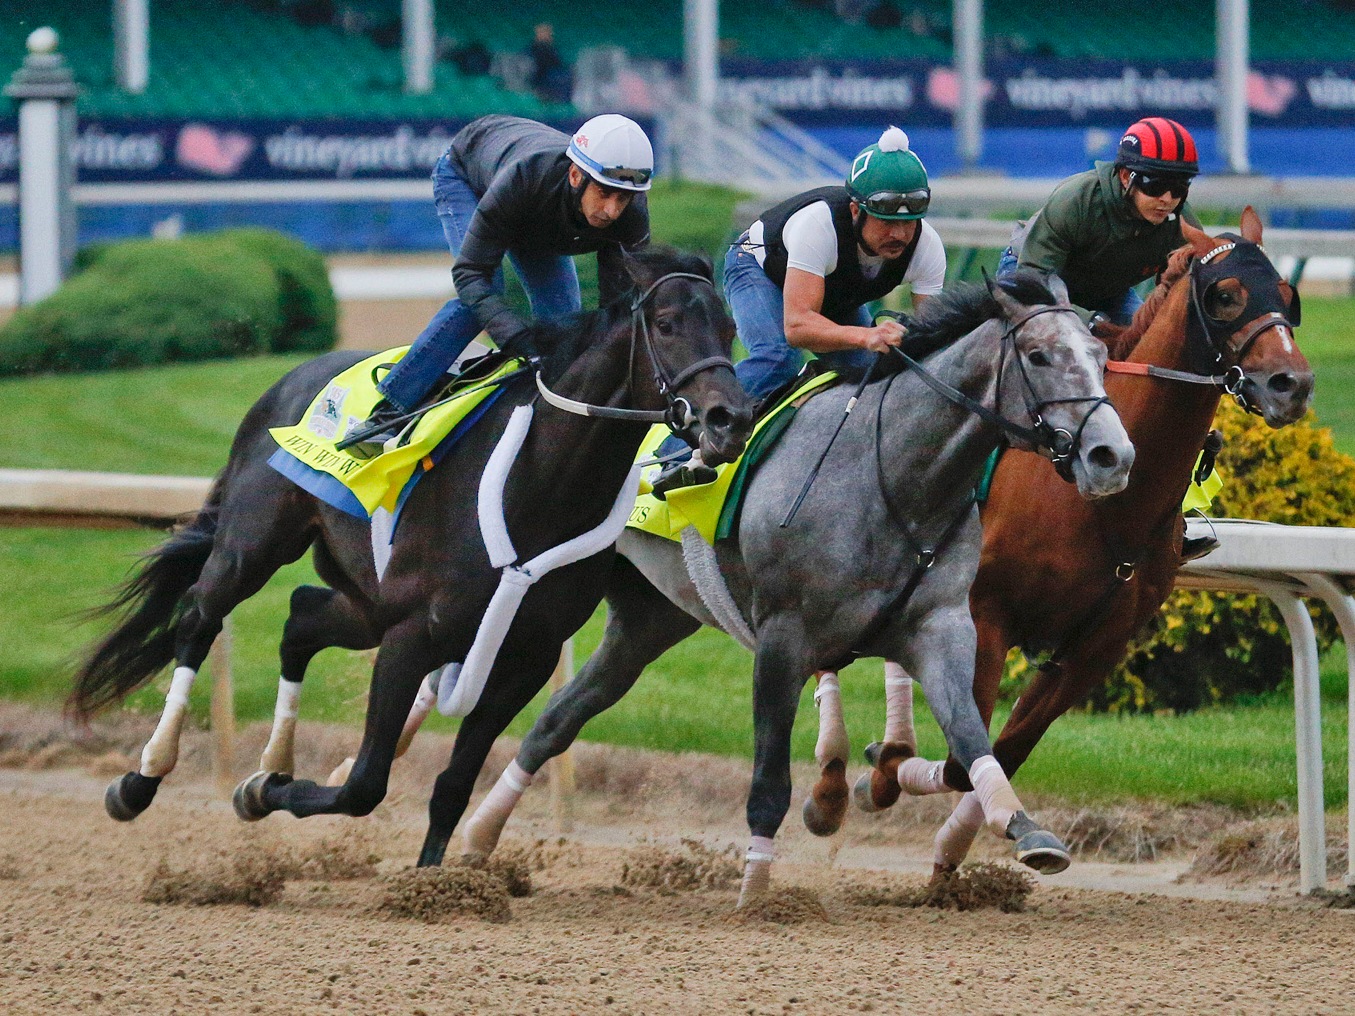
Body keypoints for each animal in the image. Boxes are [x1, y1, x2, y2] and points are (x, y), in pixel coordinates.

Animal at [71, 246, 756, 839]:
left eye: (730, 327)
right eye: (666, 325)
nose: (731, 420)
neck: (540, 485)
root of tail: (289, 380)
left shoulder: (525, 655)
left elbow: (451, 788)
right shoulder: (412, 636)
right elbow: (364, 783)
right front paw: (264, 790)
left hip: (367, 600)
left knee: (299, 619)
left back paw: (271, 759)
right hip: (255, 544)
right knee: (199, 618)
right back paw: (142, 778)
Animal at [448, 268, 1136, 903]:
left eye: (1101, 356)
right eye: (1039, 355)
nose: (1112, 457)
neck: (894, 474)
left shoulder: (940, 625)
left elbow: (969, 743)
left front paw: (1025, 830)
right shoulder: (782, 637)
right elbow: (769, 780)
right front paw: (756, 891)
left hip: (648, 620)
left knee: (556, 720)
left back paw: (479, 839)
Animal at [842, 211, 1314, 876]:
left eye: (1289, 296)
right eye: (1226, 295)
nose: (1290, 383)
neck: (1100, 503)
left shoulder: (1096, 647)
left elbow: (1003, 751)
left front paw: (975, 844)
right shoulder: (986, 617)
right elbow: (964, 756)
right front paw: (882, 775)